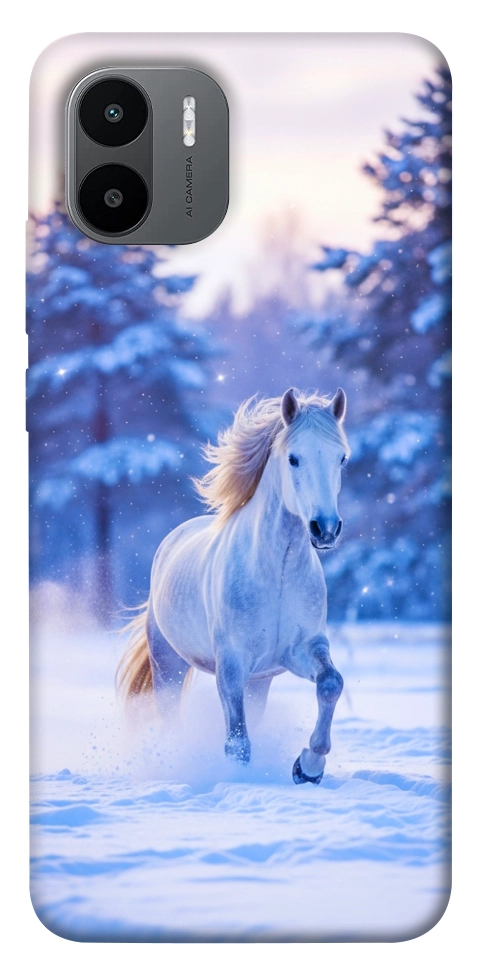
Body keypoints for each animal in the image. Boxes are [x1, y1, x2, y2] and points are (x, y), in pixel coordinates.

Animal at [118, 387, 350, 784]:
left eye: (341, 459)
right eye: (294, 458)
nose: (325, 529)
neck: (277, 573)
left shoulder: (302, 649)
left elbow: (331, 683)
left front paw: (308, 767)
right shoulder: (231, 664)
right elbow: (237, 742)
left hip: (259, 682)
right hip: (168, 665)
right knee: (170, 717)